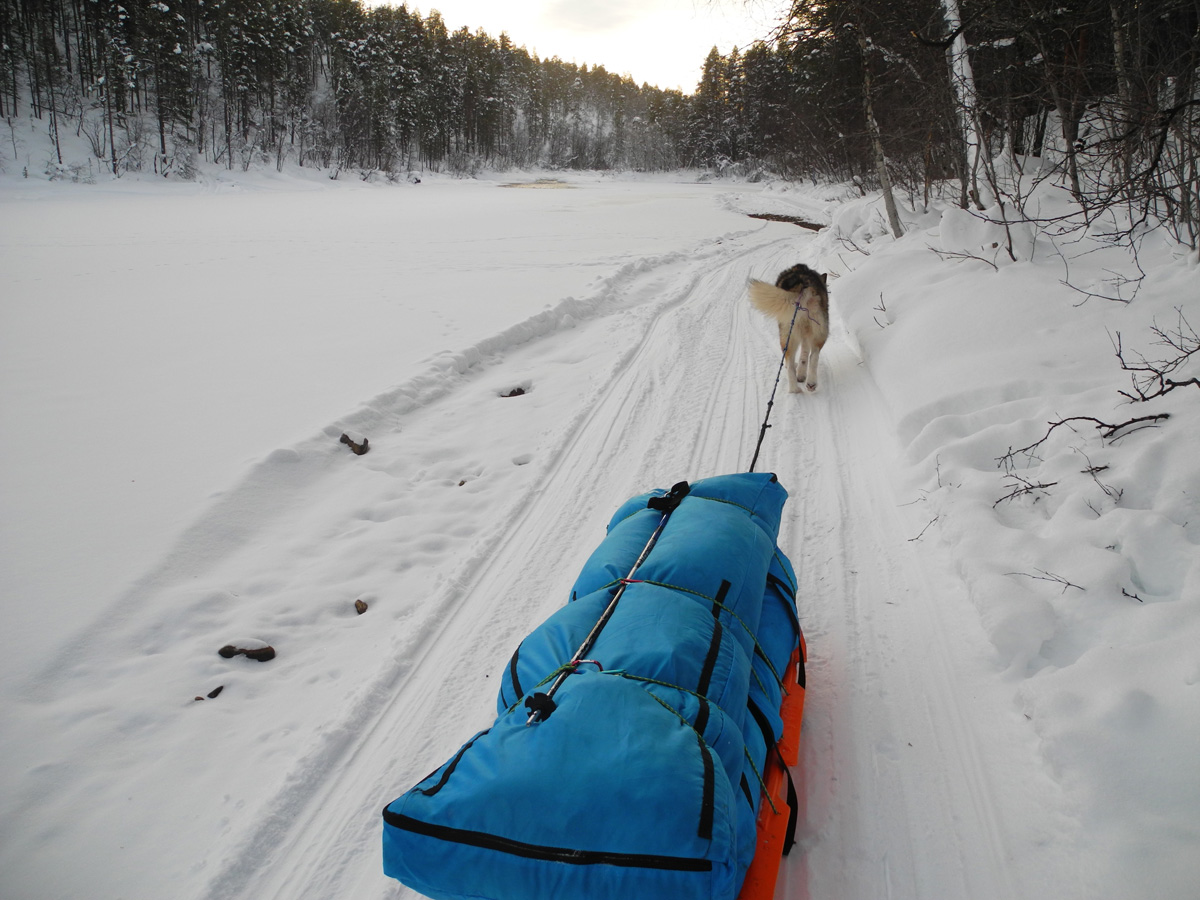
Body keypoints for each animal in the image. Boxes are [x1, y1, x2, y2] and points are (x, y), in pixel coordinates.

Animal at [744, 262, 830, 393]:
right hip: (815, 332)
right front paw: (801, 375)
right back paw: (807, 384)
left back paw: (798, 387)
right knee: (812, 357)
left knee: (791, 362)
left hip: (791, 335)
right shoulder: (806, 336)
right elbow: (804, 356)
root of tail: (804, 288)